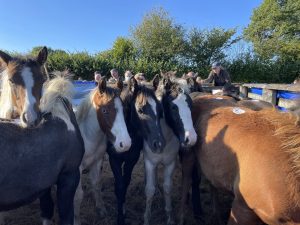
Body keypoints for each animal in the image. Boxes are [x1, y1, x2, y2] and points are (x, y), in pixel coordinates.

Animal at [73, 75, 131, 225]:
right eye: (104, 110)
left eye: (124, 109)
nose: (125, 144)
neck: (88, 137)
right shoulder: (76, 169)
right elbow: (78, 196)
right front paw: (76, 219)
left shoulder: (97, 161)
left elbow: (96, 185)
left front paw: (101, 209)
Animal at [106, 76, 166, 225]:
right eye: (140, 110)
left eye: (160, 110)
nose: (159, 144)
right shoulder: (114, 159)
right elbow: (119, 186)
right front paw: (120, 218)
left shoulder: (131, 160)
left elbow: (125, 183)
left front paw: (123, 210)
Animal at [144, 74, 198, 225]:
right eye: (173, 107)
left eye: (191, 105)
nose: (191, 138)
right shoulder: (149, 163)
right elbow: (149, 190)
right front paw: (146, 218)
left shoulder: (170, 163)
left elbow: (168, 188)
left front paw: (170, 217)